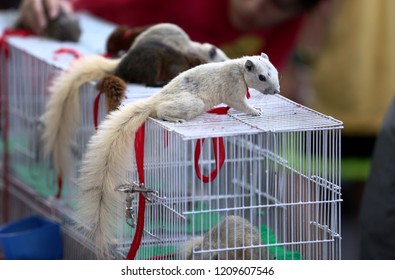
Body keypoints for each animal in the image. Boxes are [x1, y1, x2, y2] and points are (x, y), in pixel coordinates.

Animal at [76, 53, 282, 260]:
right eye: (262, 77)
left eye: (275, 71)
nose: (276, 91)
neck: (238, 70)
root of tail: (154, 100)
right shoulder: (233, 90)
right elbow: (241, 105)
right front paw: (256, 111)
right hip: (192, 104)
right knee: (161, 112)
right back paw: (177, 119)